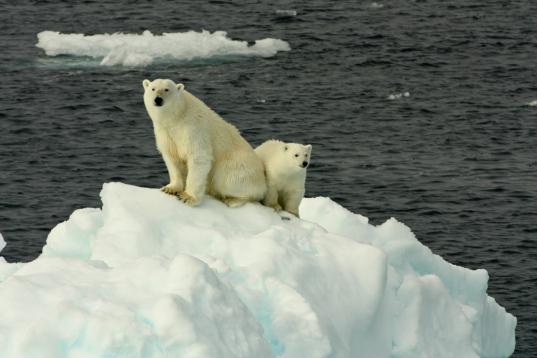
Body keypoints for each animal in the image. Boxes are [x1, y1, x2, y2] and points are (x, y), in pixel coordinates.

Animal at [142, 79, 266, 207]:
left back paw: (233, 200)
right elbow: (172, 158)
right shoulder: (165, 133)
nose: (158, 99)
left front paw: (187, 197)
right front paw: (170, 188)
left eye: (167, 89)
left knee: (228, 180)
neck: (177, 116)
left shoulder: (193, 129)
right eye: (153, 88)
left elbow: (198, 157)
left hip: (237, 166)